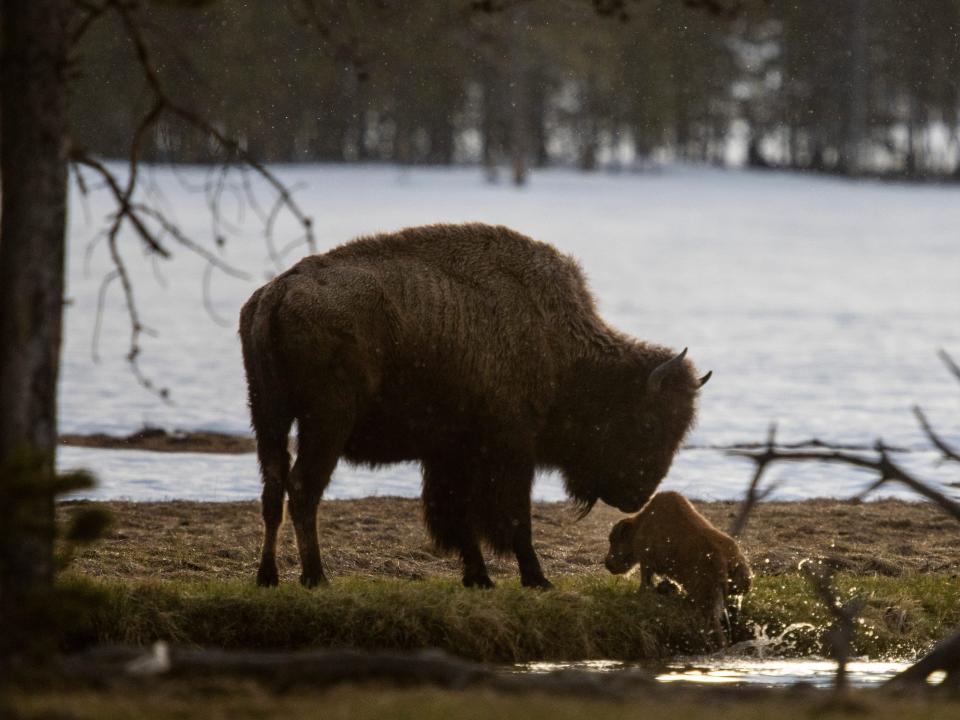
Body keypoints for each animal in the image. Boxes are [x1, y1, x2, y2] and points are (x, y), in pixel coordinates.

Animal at [238, 222, 704, 588]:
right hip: (325, 423)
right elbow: (513, 520)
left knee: (273, 490)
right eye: (649, 424)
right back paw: (315, 576)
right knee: (303, 489)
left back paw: (269, 576)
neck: (559, 347)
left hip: (268, 416)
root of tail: (277, 293)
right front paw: (536, 579)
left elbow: (458, 517)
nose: (638, 494)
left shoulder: (452, 454)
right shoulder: (510, 451)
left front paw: (478, 577)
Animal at [608, 492, 752, 644]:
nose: (607, 563)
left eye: (613, 540)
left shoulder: (647, 560)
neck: (640, 525)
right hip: (739, 586)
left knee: (714, 623)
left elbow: (645, 582)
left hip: (706, 593)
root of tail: (725, 563)